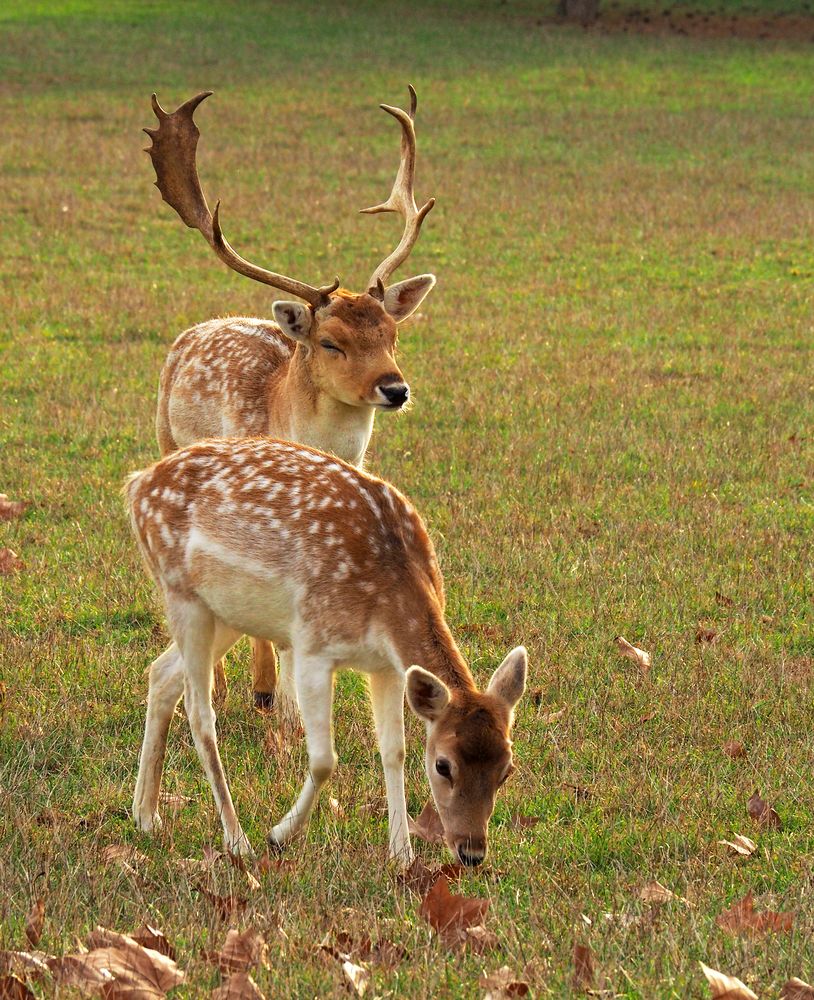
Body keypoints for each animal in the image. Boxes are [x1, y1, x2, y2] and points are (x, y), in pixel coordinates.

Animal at [129, 440, 528, 868]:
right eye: (443, 765)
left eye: (507, 769)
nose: (471, 852)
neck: (383, 604)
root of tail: (136, 486)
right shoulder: (313, 646)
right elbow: (323, 759)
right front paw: (279, 834)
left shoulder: (387, 667)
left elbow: (394, 751)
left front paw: (401, 855)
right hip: (181, 593)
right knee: (200, 713)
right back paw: (237, 840)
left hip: (227, 612)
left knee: (161, 673)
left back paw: (145, 815)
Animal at [147, 88, 440, 712]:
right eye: (331, 342)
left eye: (393, 334)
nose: (395, 388)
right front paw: (273, 701)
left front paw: (279, 698)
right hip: (164, 440)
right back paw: (229, 685)